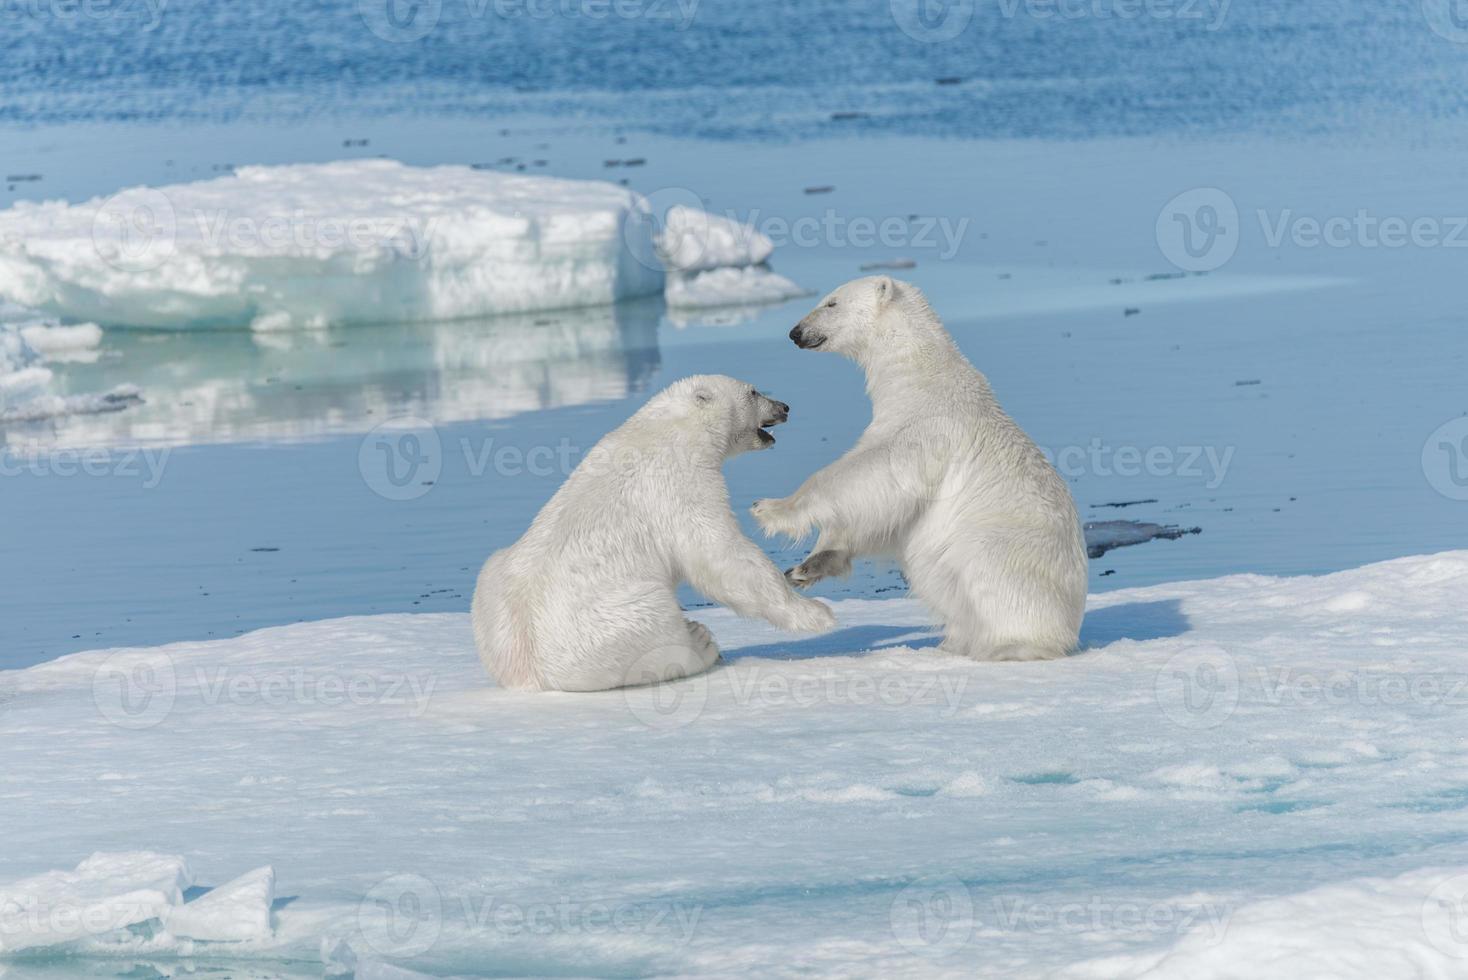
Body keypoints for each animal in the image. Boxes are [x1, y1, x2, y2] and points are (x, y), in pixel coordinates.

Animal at [472, 371, 833, 692]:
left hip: (494, 582)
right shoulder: (678, 484)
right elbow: (720, 554)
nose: (784, 407)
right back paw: (700, 640)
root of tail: (528, 670)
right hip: (621, 618)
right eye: (754, 391)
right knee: (658, 630)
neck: (668, 429)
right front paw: (817, 613)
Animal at [757, 271, 1092, 663]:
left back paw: (1005, 646)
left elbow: (870, 475)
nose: (795, 332)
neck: (923, 375)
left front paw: (770, 509)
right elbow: (883, 515)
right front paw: (806, 566)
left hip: (1007, 550)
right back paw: (950, 643)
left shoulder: (926, 431)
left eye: (831, 302)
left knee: (986, 576)